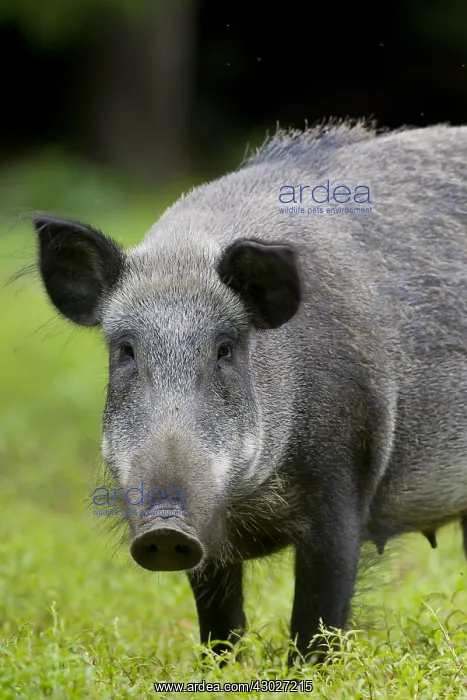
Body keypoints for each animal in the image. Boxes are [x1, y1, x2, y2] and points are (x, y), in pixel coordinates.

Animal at [32, 120, 467, 665]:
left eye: (225, 349)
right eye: (125, 350)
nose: (165, 530)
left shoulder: (344, 484)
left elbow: (319, 614)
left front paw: (307, 673)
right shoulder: (207, 534)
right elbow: (219, 619)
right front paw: (218, 670)